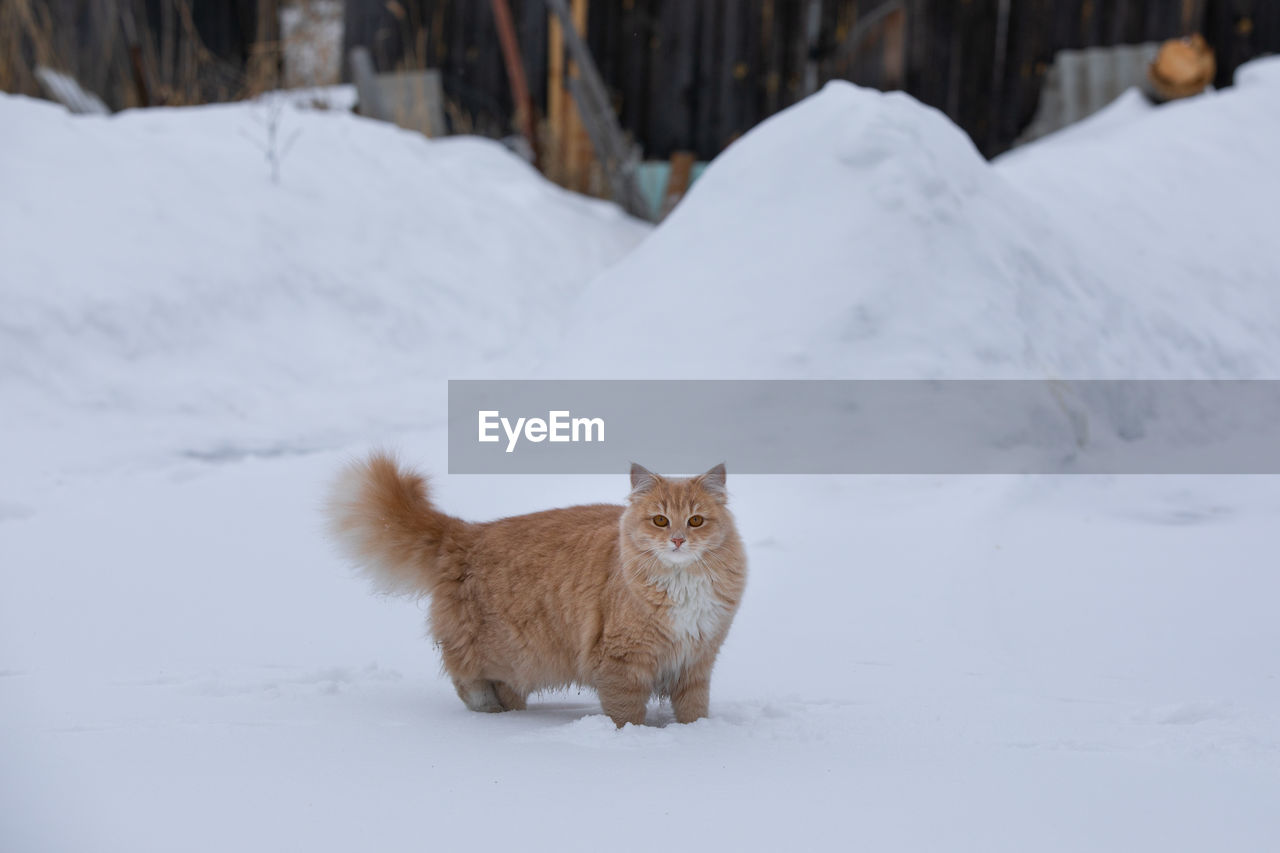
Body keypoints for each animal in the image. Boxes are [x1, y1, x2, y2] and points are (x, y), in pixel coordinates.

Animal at [325, 450, 747, 722]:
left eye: (695, 521)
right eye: (660, 520)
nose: (677, 540)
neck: (683, 582)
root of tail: (466, 533)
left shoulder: (696, 659)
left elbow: (693, 710)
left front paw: (695, 735)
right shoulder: (623, 660)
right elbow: (625, 713)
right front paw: (631, 738)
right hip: (506, 650)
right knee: (465, 675)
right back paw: (488, 712)